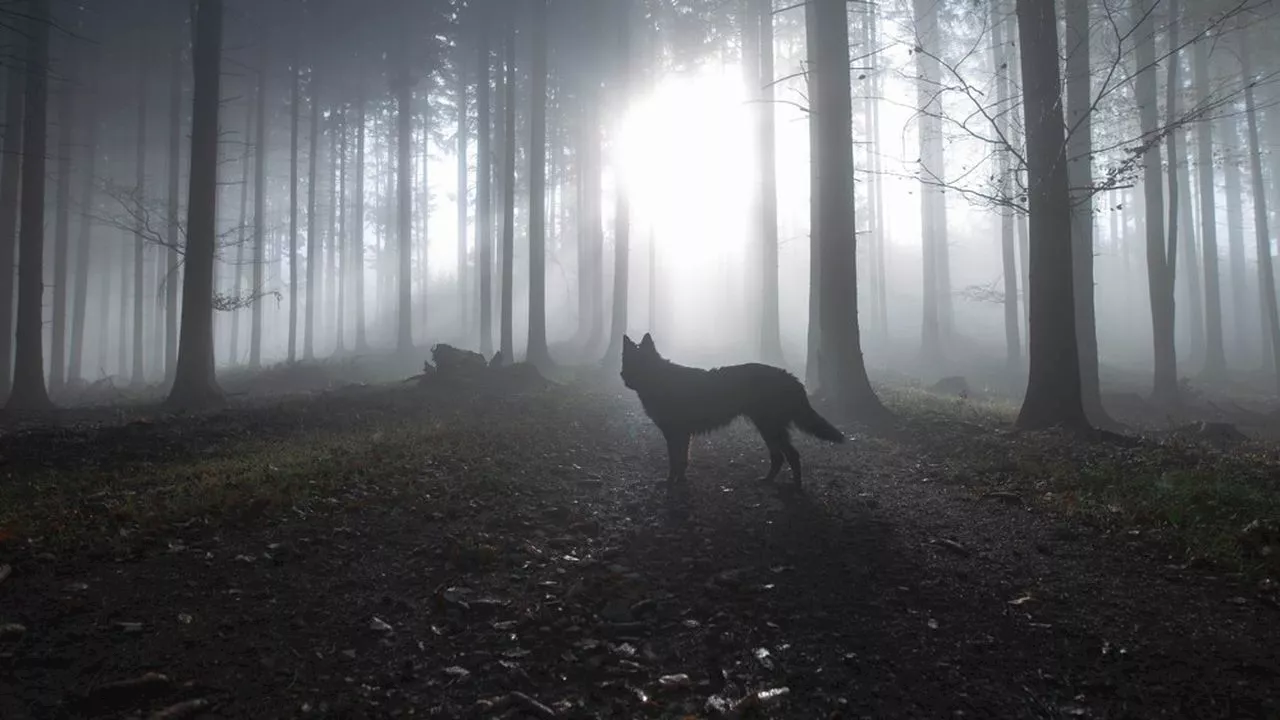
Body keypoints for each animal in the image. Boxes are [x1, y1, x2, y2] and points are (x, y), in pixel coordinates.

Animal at [622, 333, 849, 484]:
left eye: (640, 363)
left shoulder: (676, 433)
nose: (624, 378)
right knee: (780, 456)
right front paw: (680, 480)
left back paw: (795, 486)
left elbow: (675, 460)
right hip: (768, 428)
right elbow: (681, 460)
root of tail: (790, 377)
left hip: (769, 427)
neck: (660, 380)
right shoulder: (681, 434)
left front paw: (671, 482)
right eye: (628, 362)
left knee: (791, 455)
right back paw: (768, 480)